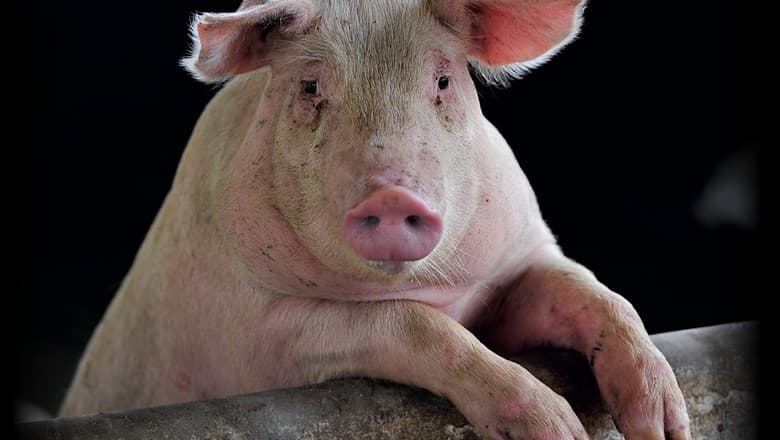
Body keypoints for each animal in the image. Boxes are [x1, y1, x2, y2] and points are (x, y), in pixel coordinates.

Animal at [60, 0, 691, 438]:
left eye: (442, 80)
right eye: (311, 86)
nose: (391, 197)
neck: (433, 287)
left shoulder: (520, 259)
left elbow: (598, 295)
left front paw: (663, 427)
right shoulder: (259, 335)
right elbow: (418, 325)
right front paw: (558, 429)